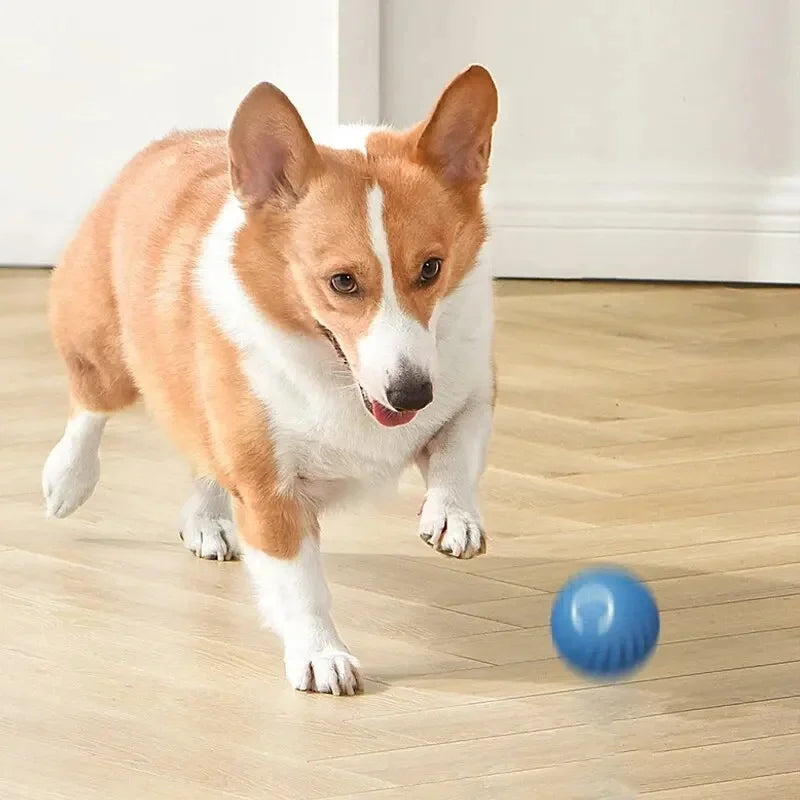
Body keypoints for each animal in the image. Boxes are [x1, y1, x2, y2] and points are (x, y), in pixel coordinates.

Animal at [42, 65, 500, 696]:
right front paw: (322, 656)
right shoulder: (268, 488)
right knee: (90, 403)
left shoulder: (469, 393)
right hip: (109, 354)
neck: (339, 380)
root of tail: (167, 142)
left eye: (431, 268)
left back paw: (206, 521)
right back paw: (68, 479)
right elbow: (300, 585)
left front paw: (453, 517)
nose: (411, 394)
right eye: (342, 281)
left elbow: (458, 445)